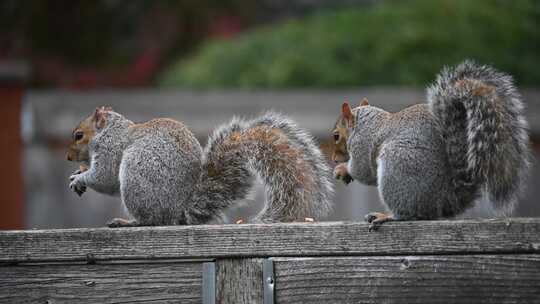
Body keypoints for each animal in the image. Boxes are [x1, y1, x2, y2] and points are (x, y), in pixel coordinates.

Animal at [67, 108, 334, 226]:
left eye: (79, 135)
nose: (69, 157)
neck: (110, 130)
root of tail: (179, 212)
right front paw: (79, 172)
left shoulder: (111, 149)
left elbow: (106, 177)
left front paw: (80, 178)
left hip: (137, 177)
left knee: (153, 221)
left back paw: (129, 222)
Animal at [336, 60, 528, 229]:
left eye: (336, 136)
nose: (334, 158)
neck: (368, 121)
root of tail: (441, 203)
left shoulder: (362, 144)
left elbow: (363, 172)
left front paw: (343, 168)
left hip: (397, 164)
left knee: (408, 214)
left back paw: (386, 216)